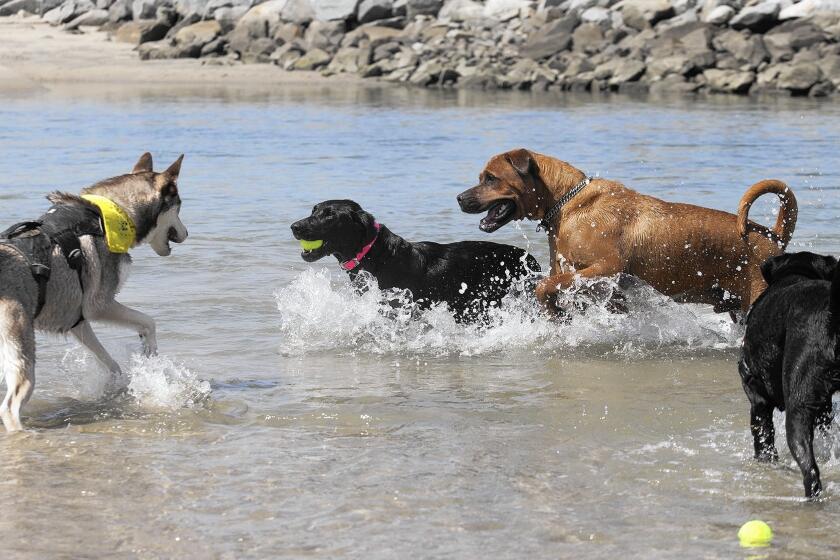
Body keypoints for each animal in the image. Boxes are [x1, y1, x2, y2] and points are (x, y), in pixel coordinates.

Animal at [0, 151, 187, 430]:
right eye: (180, 205)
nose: (187, 233)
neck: (111, 215)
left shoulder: (77, 321)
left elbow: (111, 364)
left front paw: (118, 388)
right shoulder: (99, 306)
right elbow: (148, 321)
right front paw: (150, 351)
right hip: (23, 355)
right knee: (10, 408)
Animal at [456, 149, 796, 312]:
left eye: (490, 178)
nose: (459, 198)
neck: (568, 203)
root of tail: (773, 236)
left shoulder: (607, 267)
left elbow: (544, 286)